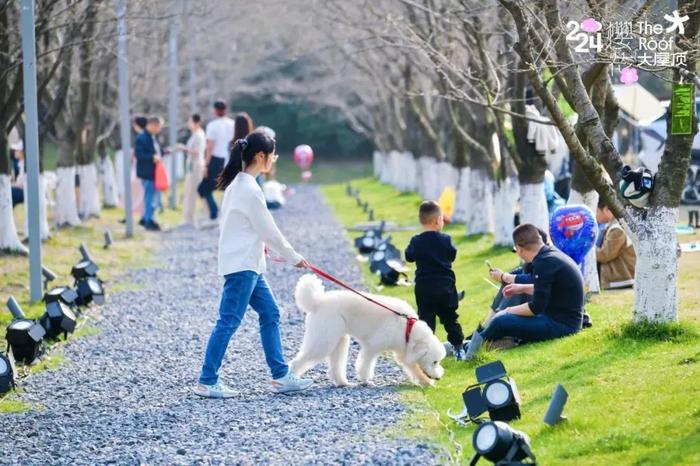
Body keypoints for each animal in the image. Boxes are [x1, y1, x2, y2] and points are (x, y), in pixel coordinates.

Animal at [292, 274, 446, 386]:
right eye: (434, 362)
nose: (439, 378)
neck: (407, 327)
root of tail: (317, 301)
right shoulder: (372, 347)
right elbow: (365, 365)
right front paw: (366, 380)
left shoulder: (404, 352)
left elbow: (414, 368)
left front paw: (426, 382)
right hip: (323, 341)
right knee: (298, 362)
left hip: (338, 340)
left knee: (335, 365)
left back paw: (342, 382)